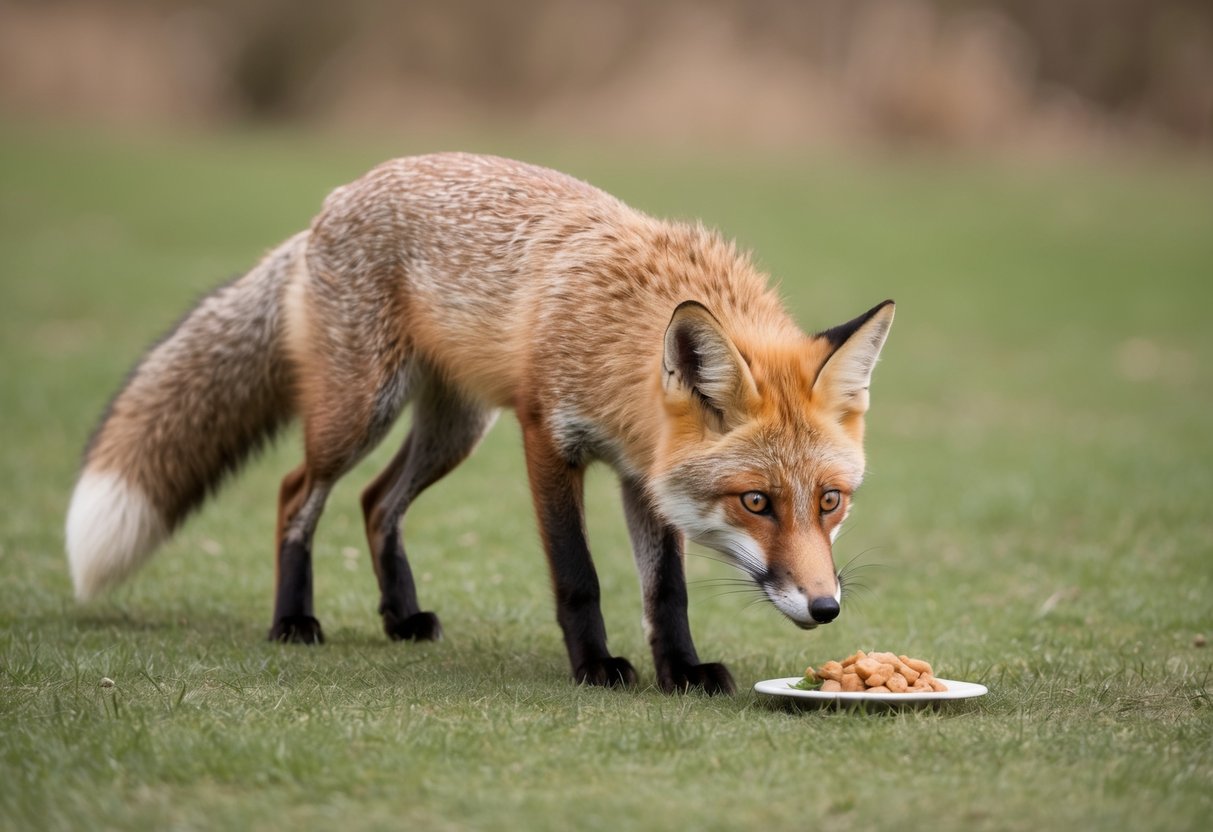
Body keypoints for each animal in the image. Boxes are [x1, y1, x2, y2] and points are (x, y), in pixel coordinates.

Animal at [66, 152, 894, 694]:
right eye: (755, 502)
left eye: (829, 502)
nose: (825, 609)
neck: (615, 332)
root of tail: (336, 198)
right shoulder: (546, 437)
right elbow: (579, 576)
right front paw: (596, 668)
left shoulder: (644, 475)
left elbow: (665, 591)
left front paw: (681, 670)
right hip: (359, 413)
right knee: (297, 492)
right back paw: (293, 620)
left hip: (454, 430)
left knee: (375, 502)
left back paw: (401, 618)